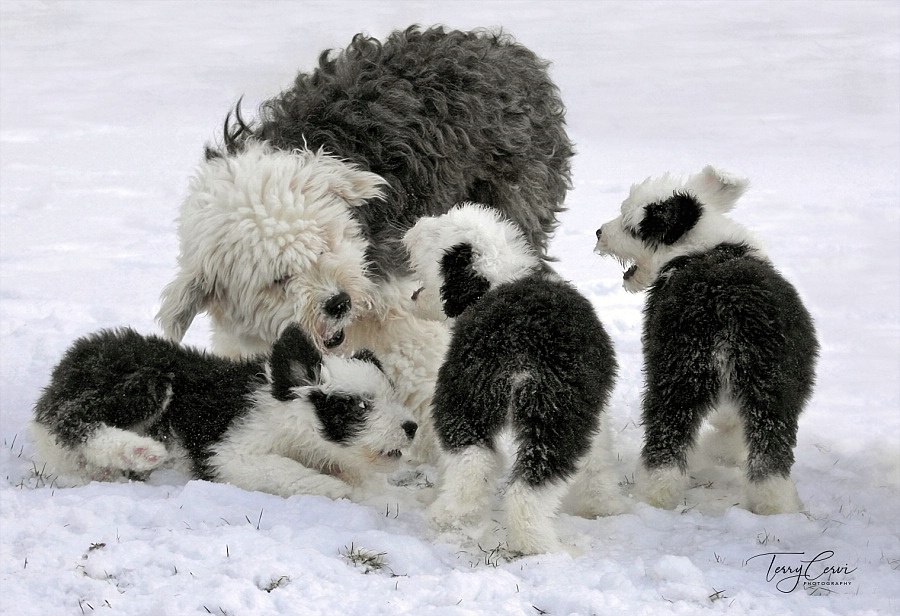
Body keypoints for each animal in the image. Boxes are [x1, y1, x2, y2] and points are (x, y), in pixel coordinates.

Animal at [30, 322, 418, 500]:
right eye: (360, 406)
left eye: (391, 396)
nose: (412, 427)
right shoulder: (229, 452)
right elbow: (281, 469)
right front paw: (334, 489)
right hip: (146, 381)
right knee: (72, 419)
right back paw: (138, 451)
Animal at [400, 205, 620, 556]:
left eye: (436, 232)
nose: (412, 228)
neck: (498, 277)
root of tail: (515, 340)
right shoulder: (591, 410)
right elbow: (597, 459)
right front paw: (603, 506)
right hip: (556, 415)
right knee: (531, 485)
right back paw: (539, 544)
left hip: (463, 395)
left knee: (473, 457)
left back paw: (453, 516)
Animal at [596, 165, 820, 516]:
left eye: (630, 225)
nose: (598, 233)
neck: (699, 246)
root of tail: (731, 307)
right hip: (775, 381)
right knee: (770, 448)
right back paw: (775, 506)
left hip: (676, 371)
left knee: (666, 441)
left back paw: (653, 498)